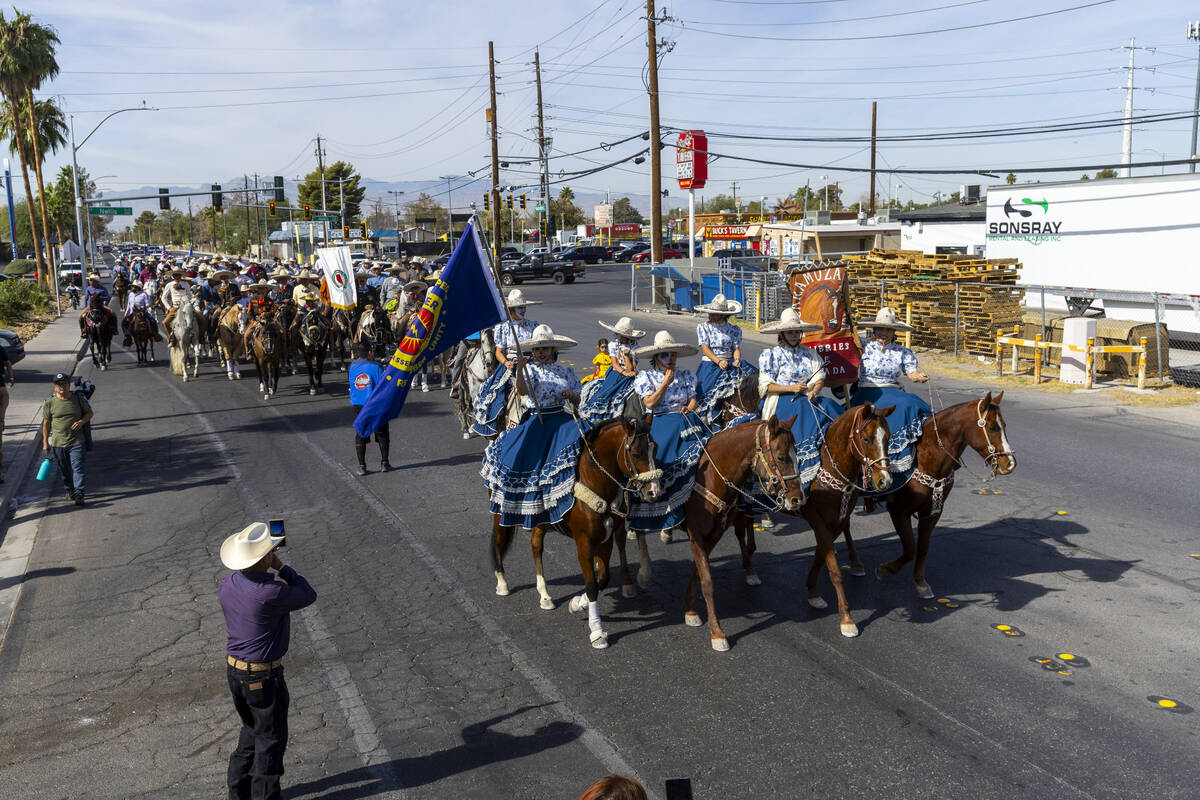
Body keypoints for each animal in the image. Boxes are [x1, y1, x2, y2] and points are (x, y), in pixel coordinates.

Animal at [494, 412, 672, 652]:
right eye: (636, 453)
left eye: (655, 448)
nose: (655, 491)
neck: (594, 480)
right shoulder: (584, 543)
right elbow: (591, 585)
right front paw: (596, 631)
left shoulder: (605, 540)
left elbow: (602, 580)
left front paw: (577, 603)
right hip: (499, 512)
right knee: (498, 541)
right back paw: (502, 583)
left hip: (540, 521)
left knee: (536, 547)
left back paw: (545, 595)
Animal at [676, 417, 806, 652]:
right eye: (781, 457)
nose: (797, 499)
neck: (711, 475)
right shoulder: (697, 533)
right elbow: (707, 582)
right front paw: (717, 633)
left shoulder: (715, 533)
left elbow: (698, 570)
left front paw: (690, 610)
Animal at [864, 391, 1022, 604]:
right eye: (992, 427)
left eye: (1004, 425)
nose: (1010, 464)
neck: (924, 455)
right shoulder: (898, 510)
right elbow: (910, 548)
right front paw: (885, 569)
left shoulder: (932, 512)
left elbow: (922, 547)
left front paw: (920, 582)